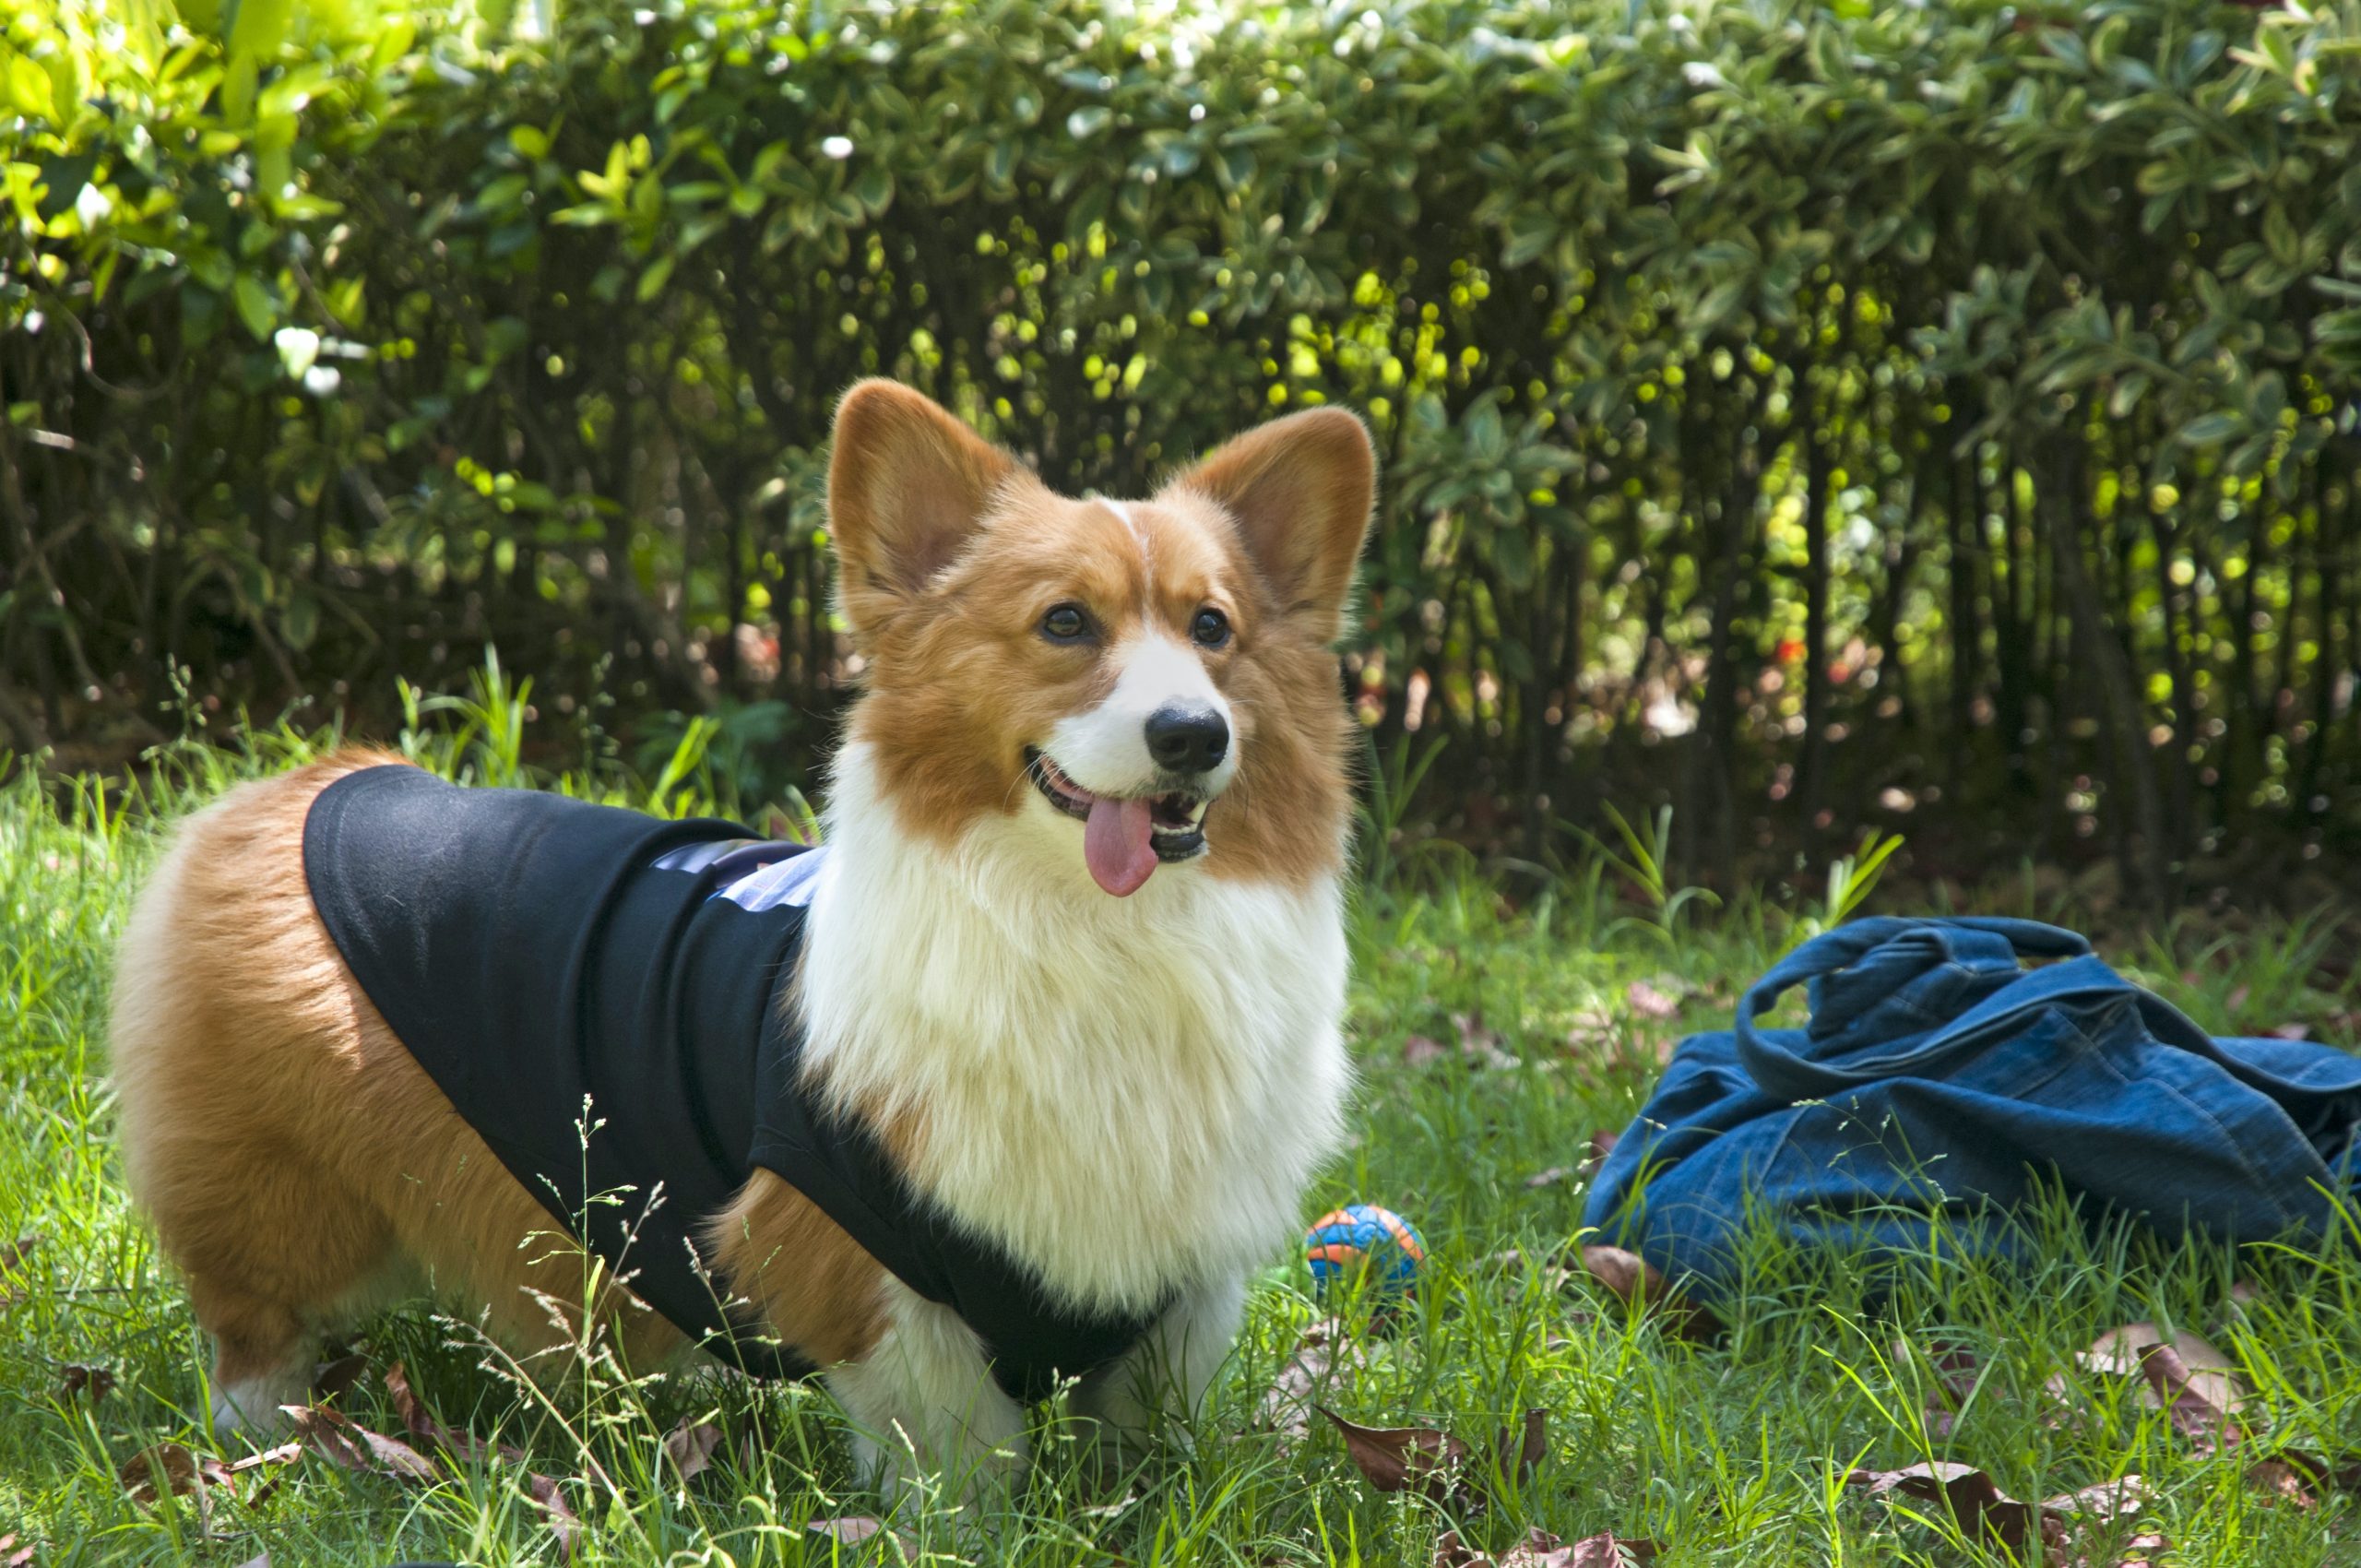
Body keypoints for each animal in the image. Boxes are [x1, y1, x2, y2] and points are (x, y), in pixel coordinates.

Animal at [111, 377, 1379, 1492]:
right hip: (279, 1197)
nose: (1192, 733)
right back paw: (264, 1442)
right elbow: (951, 1439)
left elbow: (1150, 1424)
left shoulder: (1186, 1289)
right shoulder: (862, 1264)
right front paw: (961, 1522)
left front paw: (1153, 1495)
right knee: (253, 1319)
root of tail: (292, 785)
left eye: (1212, 627)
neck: (1100, 933)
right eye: (1065, 621)